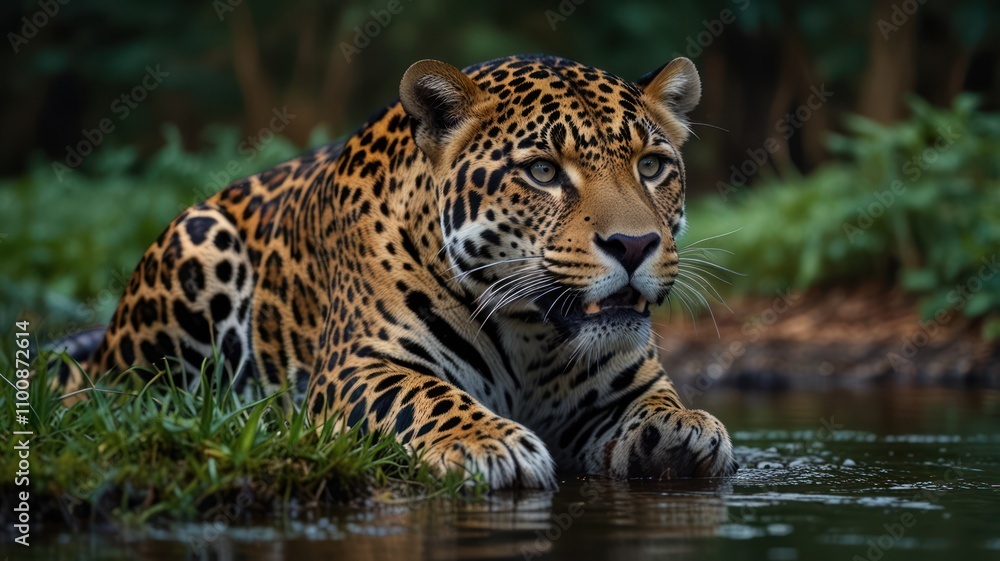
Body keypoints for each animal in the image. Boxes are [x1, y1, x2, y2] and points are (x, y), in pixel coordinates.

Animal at [58, 54, 738, 489]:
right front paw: (488, 444)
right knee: (139, 399)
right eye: (543, 171)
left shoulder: (624, 386)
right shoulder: (358, 366)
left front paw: (684, 429)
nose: (635, 244)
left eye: (651, 166)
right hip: (198, 245)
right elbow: (427, 395)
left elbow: (659, 402)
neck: (533, 334)